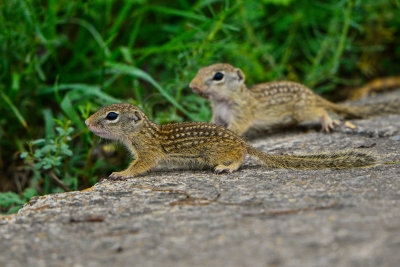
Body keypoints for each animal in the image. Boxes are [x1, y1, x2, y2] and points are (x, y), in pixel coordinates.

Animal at [84, 104, 376, 180]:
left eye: (111, 116)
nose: (86, 122)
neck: (141, 131)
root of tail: (241, 140)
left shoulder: (148, 152)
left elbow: (140, 166)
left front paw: (120, 173)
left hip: (214, 154)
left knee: (240, 158)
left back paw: (228, 167)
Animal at [188, 63, 400, 136]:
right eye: (199, 70)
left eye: (218, 76)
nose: (191, 85)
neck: (222, 101)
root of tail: (312, 94)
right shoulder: (217, 115)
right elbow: (214, 123)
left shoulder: (241, 113)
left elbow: (236, 127)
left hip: (303, 111)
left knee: (320, 111)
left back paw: (327, 121)